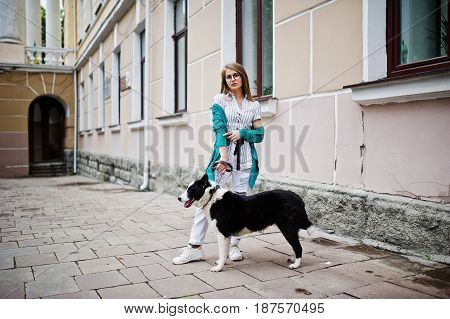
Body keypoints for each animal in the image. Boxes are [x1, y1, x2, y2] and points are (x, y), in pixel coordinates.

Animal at [178, 175, 314, 272]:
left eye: (190, 190)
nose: (179, 198)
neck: (212, 197)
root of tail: (296, 196)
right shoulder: (226, 235)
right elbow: (224, 252)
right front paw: (222, 263)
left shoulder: (222, 234)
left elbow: (222, 252)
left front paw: (219, 268)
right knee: (295, 246)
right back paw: (293, 259)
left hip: (287, 228)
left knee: (298, 247)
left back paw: (296, 265)